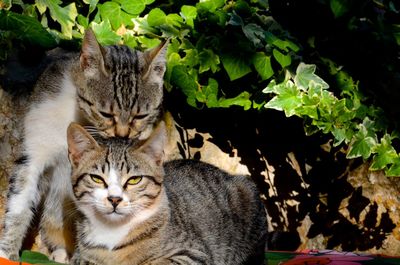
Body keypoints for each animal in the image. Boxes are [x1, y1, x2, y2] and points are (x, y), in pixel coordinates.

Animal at [0, 29, 167, 262]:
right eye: (106, 113)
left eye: (140, 116)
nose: (123, 135)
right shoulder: (34, 152)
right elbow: (19, 203)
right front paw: (7, 252)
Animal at [66, 121, 268, 264]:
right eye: (97, 178)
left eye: (134, 180)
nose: (114, 199)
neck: (113, 230)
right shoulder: (81, 256)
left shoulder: (192, 253)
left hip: (246, 191)